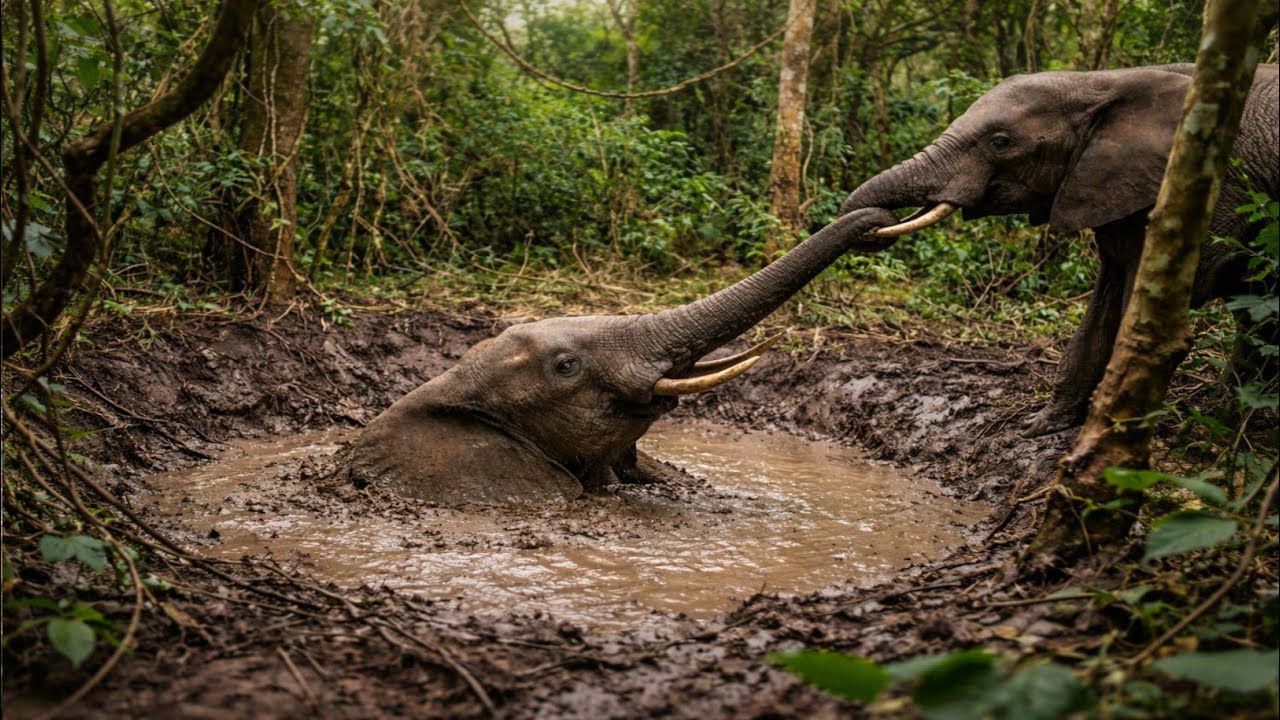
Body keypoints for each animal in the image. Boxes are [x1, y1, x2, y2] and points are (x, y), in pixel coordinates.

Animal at [839, 63, 1279, 437]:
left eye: (1000, 142)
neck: (1104, 81)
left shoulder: (1207, 198)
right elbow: (1104, 309)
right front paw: (1041, 427)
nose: (876, 224)